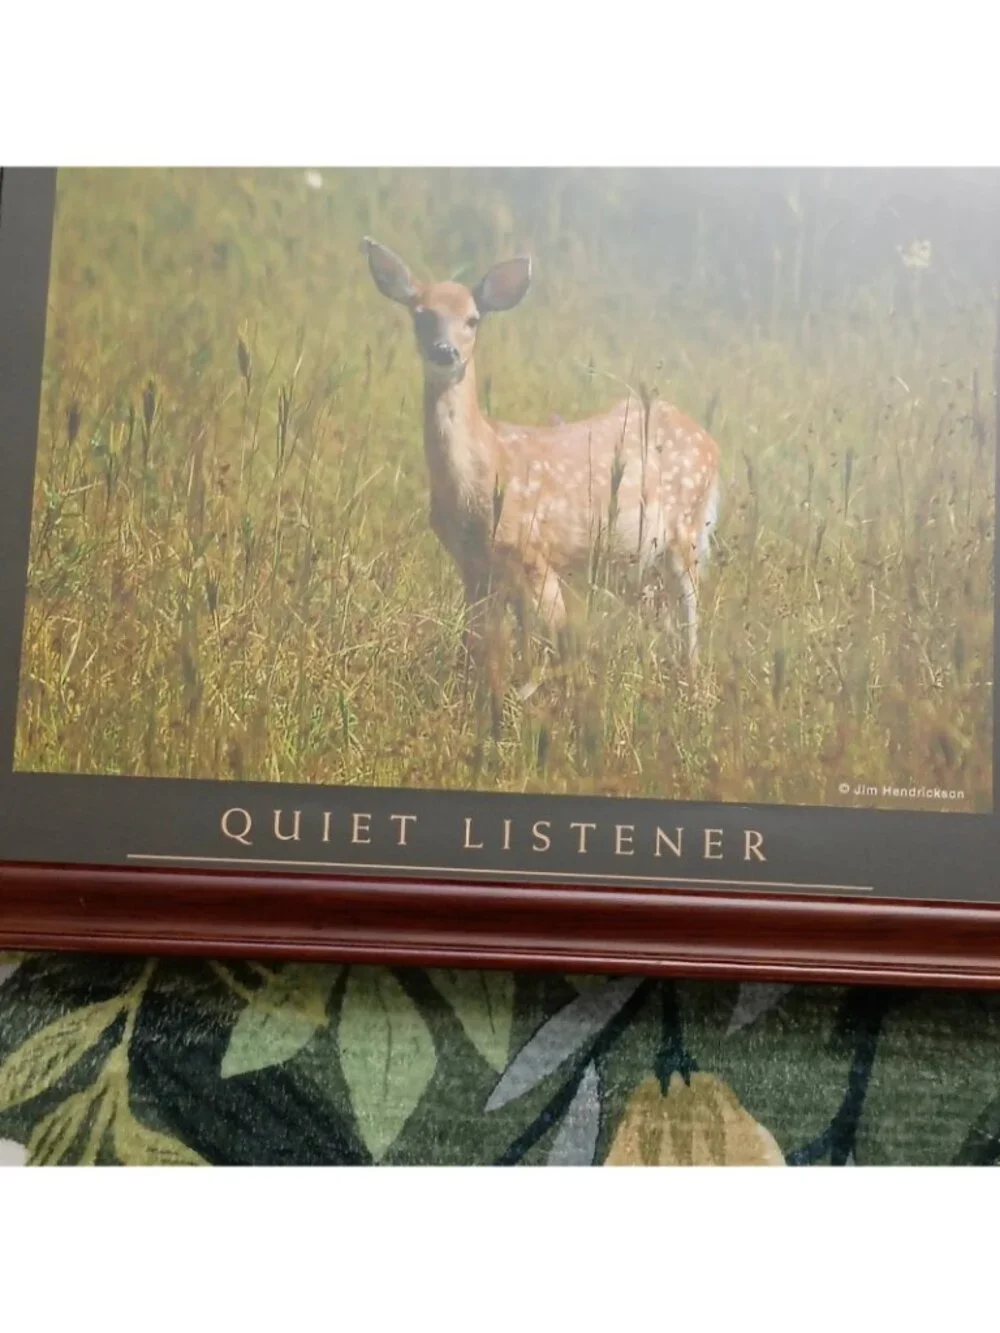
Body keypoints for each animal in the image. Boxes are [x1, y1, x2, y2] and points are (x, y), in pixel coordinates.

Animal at [361, 237, 721, 678]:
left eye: (473, 319)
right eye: (421, 315)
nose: (445, 352)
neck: (480, 473)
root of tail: (709, 441)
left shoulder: (533, 553)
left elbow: (552, 642)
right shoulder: (475, 569)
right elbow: (478, 645)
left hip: (686, 530)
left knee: (690, 616)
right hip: (639, 559)